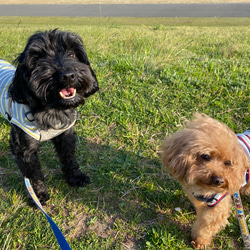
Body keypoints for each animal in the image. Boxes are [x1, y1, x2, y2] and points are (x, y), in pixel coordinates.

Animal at [5, 29, 98, 205]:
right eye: (39, 59)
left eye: (72, 54)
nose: (67, 76)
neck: (53, 109)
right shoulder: (24, 148)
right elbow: (33, 175)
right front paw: (38, 195)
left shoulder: (66, 134)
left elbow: (69, 158)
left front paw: (75, 177)